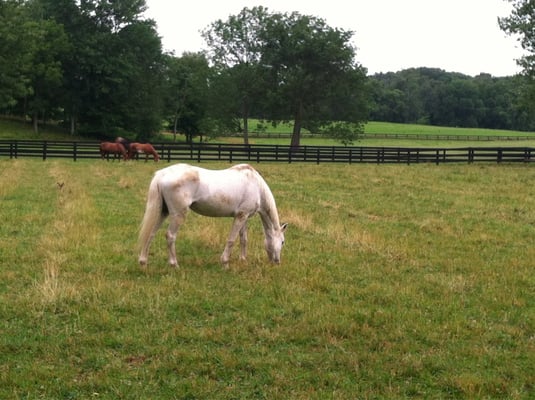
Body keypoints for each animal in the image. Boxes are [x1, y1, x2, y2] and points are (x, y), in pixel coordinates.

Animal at [138, 162, 288, 268]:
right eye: (282, 241)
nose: (277, 262)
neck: (257, 186)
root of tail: (162, 174)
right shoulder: (240, 216)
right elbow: (231, 240)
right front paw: (225, 263)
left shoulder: (244, 217)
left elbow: (243, 239)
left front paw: (243, 260)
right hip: (178, 214)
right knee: (170, 236)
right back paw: (174, 265)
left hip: (162, 212)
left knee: (151, 234)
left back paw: (143, 262)